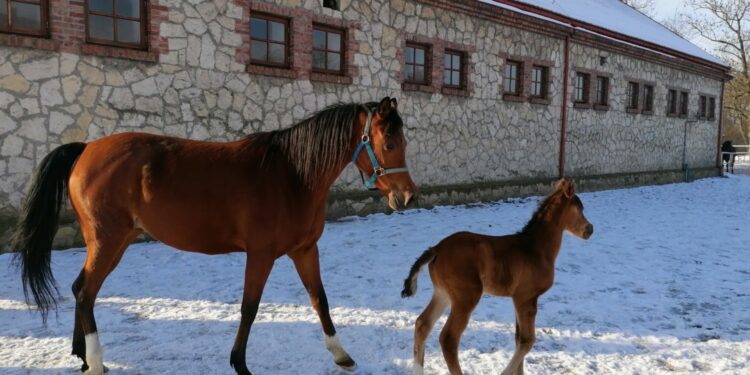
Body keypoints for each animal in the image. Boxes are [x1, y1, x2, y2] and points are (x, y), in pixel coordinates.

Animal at [11, 96, 418, 374]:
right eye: (389, 143)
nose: (408, 196)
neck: (292, 175)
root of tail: (86, 150)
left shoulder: (304, 250)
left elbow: (320, 300)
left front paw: (341, 355)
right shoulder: (261, 254)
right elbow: (250, 308)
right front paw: (239, 363)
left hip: (114, 243)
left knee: (82, 290)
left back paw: (82, 356)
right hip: (107, 241)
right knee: (85, 292)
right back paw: (95, 362)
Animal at [402, 179, 596, 375]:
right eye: (579, 208)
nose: (590, 229)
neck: (536, 248)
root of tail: (437, 249)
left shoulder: (518, 299)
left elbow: (519, 339)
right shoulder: (526, 297)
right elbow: (527, 340)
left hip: (443, 293)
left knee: (422, 324)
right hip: (466, 297)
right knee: (448, 338)